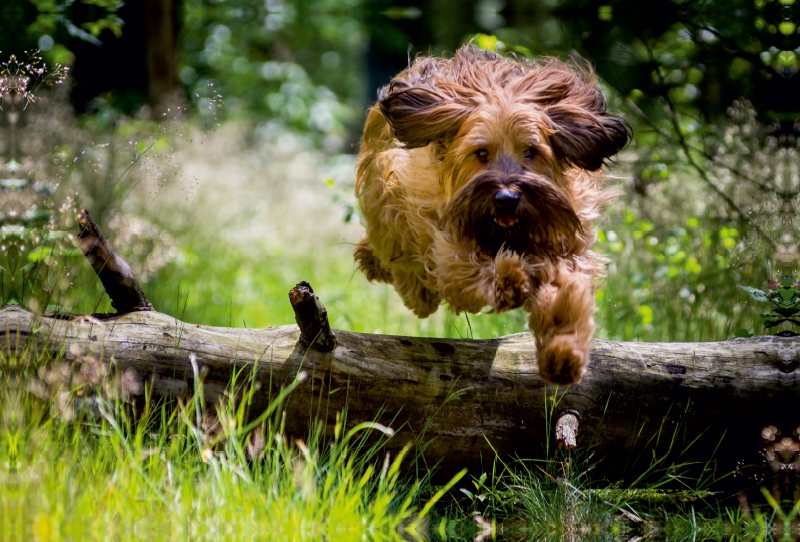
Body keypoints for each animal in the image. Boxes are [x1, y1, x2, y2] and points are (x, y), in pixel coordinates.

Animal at [354, 46, 628, 386]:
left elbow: (567, 292)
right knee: (400, 258)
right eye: (481, 153)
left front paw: (564, 355)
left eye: (531, 151)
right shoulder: (447, 242)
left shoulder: (566, 249)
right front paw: (509, 279)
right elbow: (469, 269)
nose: (506, 200)